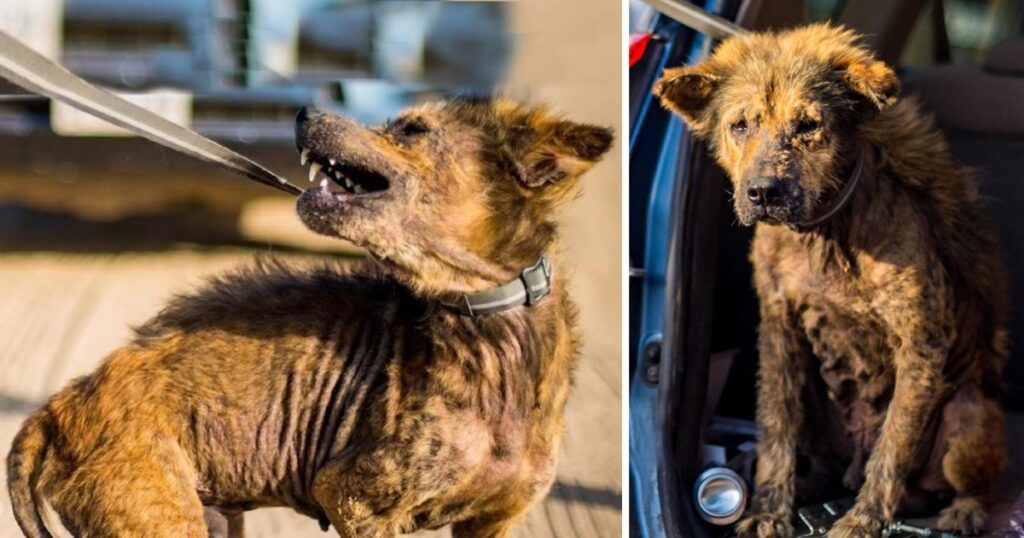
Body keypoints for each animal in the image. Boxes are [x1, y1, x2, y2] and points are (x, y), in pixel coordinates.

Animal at [8, 97, 610, 536]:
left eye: (413, 129)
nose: (304, 112)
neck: (492, 323)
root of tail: (57, 408)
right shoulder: (352, 496)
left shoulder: (491, 521)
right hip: (161, 517)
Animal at [655, 23, 1007, 532]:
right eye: (740, 125)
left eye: (807, 125)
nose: (763, 192)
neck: (823, 235)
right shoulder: (779, 329)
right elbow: (776, 430)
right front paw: (768, 509)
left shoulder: (921, 343)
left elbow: (893, 447)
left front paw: (863, 521)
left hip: (969, 417)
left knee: (967, 482)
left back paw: (963, 510)